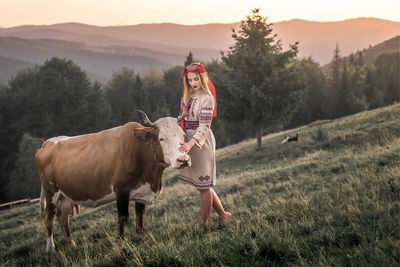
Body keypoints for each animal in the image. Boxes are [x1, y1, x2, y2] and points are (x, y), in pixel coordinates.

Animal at [35, 110, 190, 252]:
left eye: (183, 135)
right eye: (162, 138)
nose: (183, 160)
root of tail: (47, 143)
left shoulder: (142, 190)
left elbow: (140, 214)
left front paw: (140, 234)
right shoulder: (121, 190)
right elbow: (123, 217)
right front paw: (121, 240)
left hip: (65, 194)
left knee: (63, 217)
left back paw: (71, 243)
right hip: (50, 191)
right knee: (49, 218)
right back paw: (50, 248)